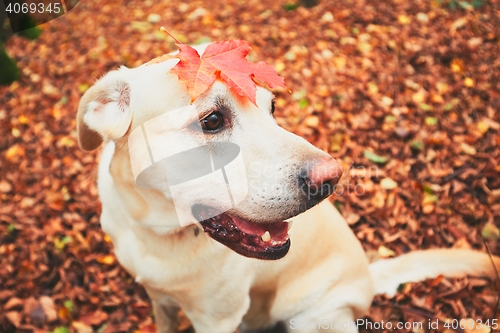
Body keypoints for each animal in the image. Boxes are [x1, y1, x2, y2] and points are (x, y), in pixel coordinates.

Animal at [75, 44, 500, 332]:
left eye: (272, 107)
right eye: (211, 120)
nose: (331, 179)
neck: (158, 234)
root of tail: (367, 274)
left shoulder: (217, 319)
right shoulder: (159, 300)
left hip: (313, 318)